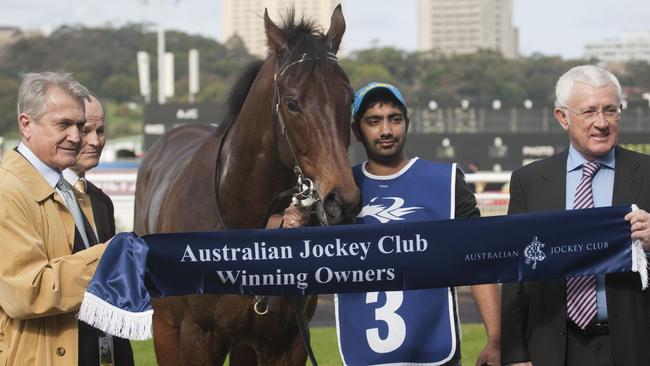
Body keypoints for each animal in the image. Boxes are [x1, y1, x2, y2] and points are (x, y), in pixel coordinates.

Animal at [133, 5, 360, 366]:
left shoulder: (288, 341)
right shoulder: (198, 336)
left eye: (349, 98)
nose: (342, 201)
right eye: (292, 103)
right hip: (165, 327)